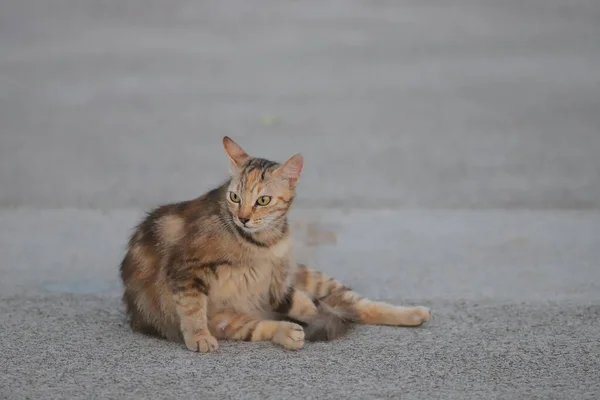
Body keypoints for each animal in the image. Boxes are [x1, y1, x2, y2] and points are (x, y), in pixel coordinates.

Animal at [120, 136, 432, 352]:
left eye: (263, 200)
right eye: (234, 197)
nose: (243, 217)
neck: (263, 242)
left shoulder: (278, 279)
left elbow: (299, 301)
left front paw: (316, 312)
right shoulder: (185, 269)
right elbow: (192, 308)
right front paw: (198, 336)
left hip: (308, 276)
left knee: (358, 306)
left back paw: (411, 313)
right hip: (227, 320)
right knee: (260, 327)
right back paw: (289, 333)